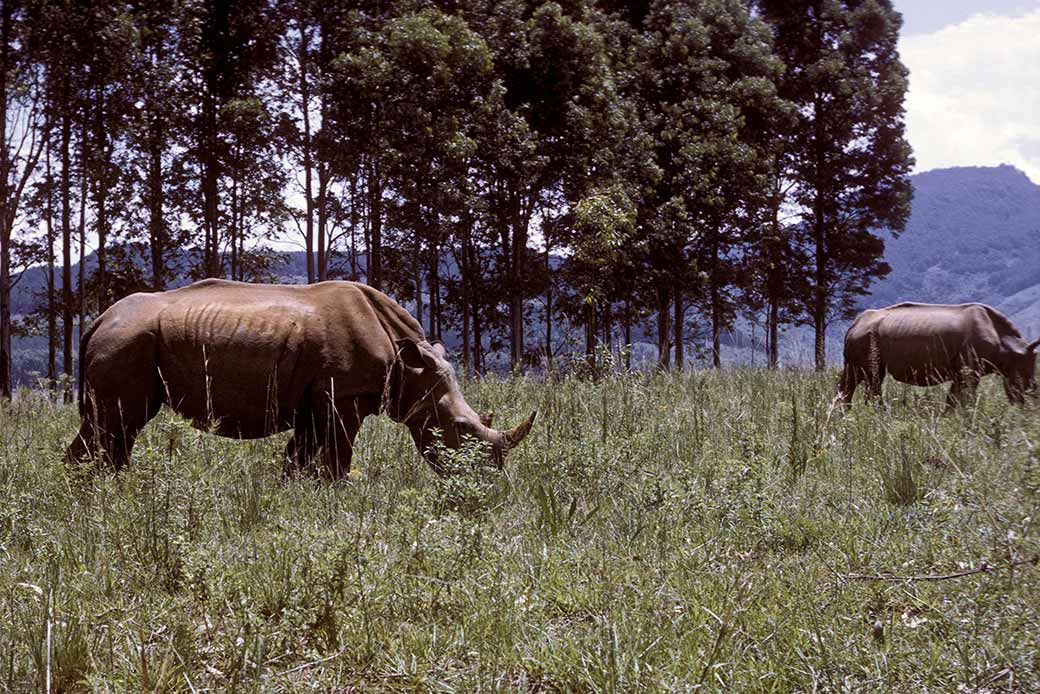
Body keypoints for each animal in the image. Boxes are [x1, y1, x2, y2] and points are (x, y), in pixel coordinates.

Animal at [66, 279, 536, 476]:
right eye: (460, 428)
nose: (488, 481)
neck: (410, 366)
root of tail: (98, 319)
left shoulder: (315, 400)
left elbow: (298, 458)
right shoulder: (344, 396)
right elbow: (337, 458)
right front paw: (335, 496)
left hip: (128, 338)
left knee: (120, 427)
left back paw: (114, 488)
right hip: (126, 340)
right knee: (116, 421)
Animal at [837, 302, 1040, 408]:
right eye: (1022, 378)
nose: (1031, 390)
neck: (1009, 346)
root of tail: (854, 324)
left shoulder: (961, 372)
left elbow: (952, 398)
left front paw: (949, 418)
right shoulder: (970, 370)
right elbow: (967, 397)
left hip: (864, 339)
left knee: (854, 380)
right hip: (867, 338)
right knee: (871, 379)